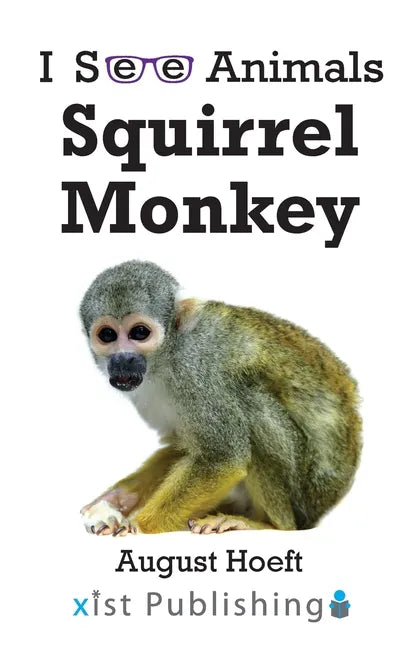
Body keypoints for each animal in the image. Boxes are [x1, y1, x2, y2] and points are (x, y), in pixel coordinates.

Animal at [79, 260, 362, 535]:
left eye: (139, 332)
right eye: (107, 335)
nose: (122, 360)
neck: (168, 356)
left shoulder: (196, 373)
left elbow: (222, 457)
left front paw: (138, 526)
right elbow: (181, 446)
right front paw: (116, 500)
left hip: (304, 495)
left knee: (251, 403)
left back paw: (266, 524)